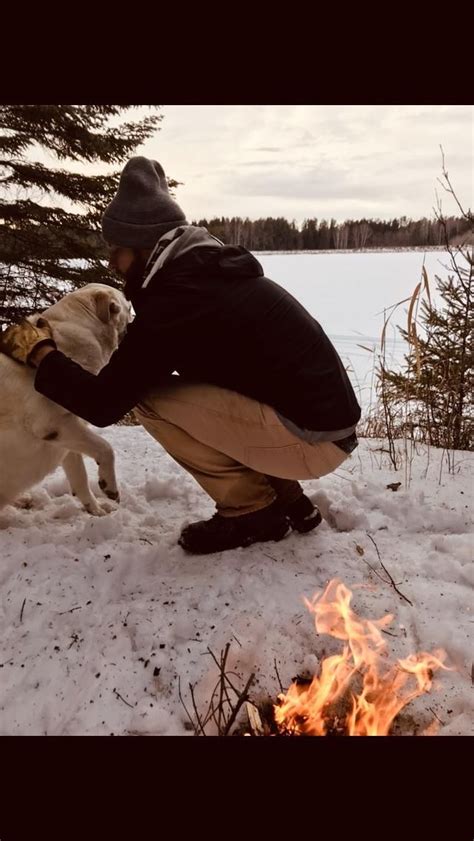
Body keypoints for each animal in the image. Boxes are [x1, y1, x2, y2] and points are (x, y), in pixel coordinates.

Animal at [0, 286, 130, 516]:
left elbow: (80, 476)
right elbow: (106, 448)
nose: (133, 306)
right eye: (124, 301)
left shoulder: (68, 437)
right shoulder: (55, 424)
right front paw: (109, 487)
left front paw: (96, 510)